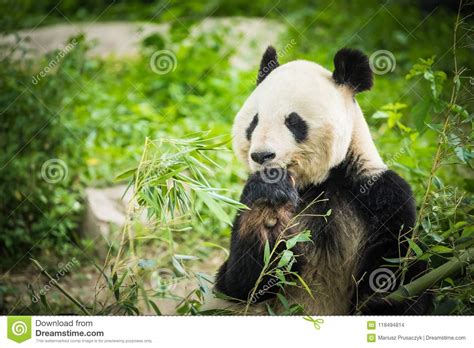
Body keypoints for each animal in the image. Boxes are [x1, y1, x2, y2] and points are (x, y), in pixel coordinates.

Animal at [215, 46, 434, 316]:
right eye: (254, 122)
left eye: (293, 121)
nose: (262, 156)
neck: (316, 183)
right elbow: (241, 285)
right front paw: (268, 209)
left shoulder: (380, 195)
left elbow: (395, 272)